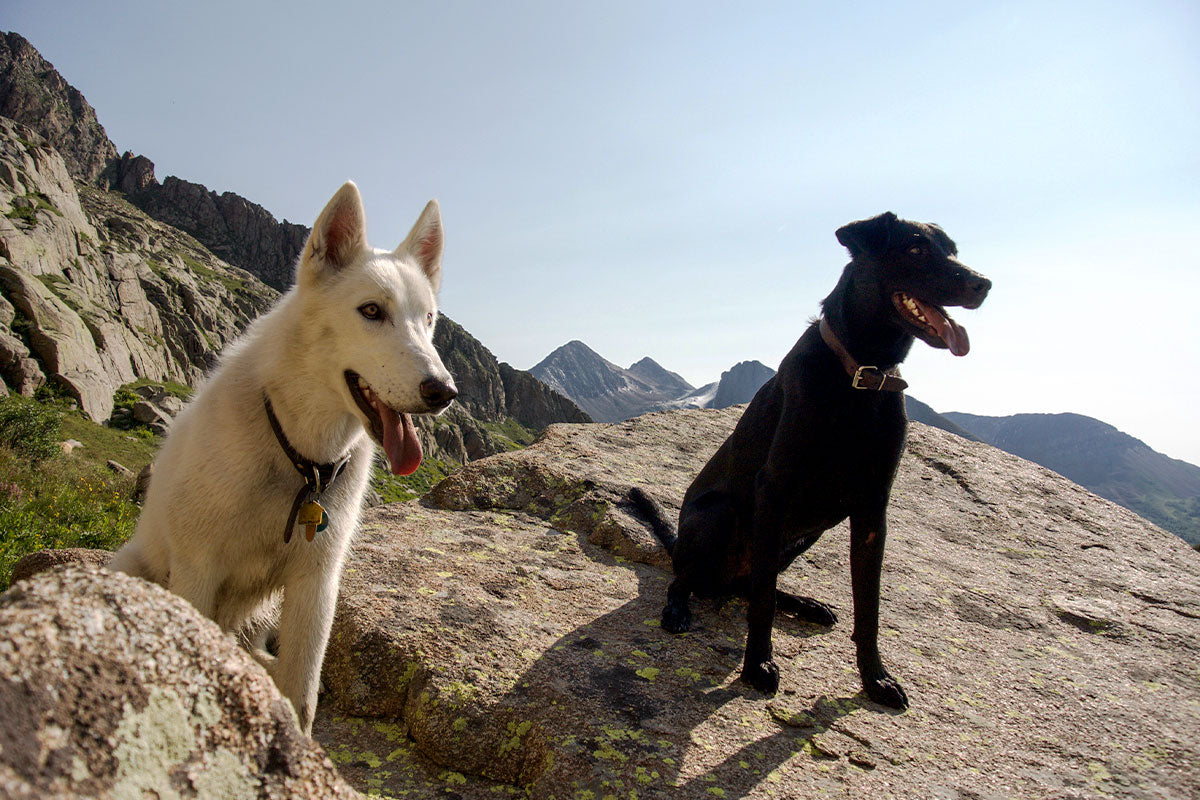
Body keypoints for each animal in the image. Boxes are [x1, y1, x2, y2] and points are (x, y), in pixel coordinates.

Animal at [109, 181, 458, 734]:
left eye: (428, 319)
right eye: (371, 311)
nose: (444, 391)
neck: (301, 458)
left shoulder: (316, 583)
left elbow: (303, 691)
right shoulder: (195, 571)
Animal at [633, 212, 988, 705]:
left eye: (953, 250)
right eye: (916, 248)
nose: (982, 283)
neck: (860, 377)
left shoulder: (873, 510)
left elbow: (868, 606)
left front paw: (875, 677)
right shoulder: (774, 489)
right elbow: (762, 602)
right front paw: (757, 665)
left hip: (810, 531)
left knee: (750, 582)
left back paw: (806, 604)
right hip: (720, 517)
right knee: (689, 579)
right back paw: (679, 608)